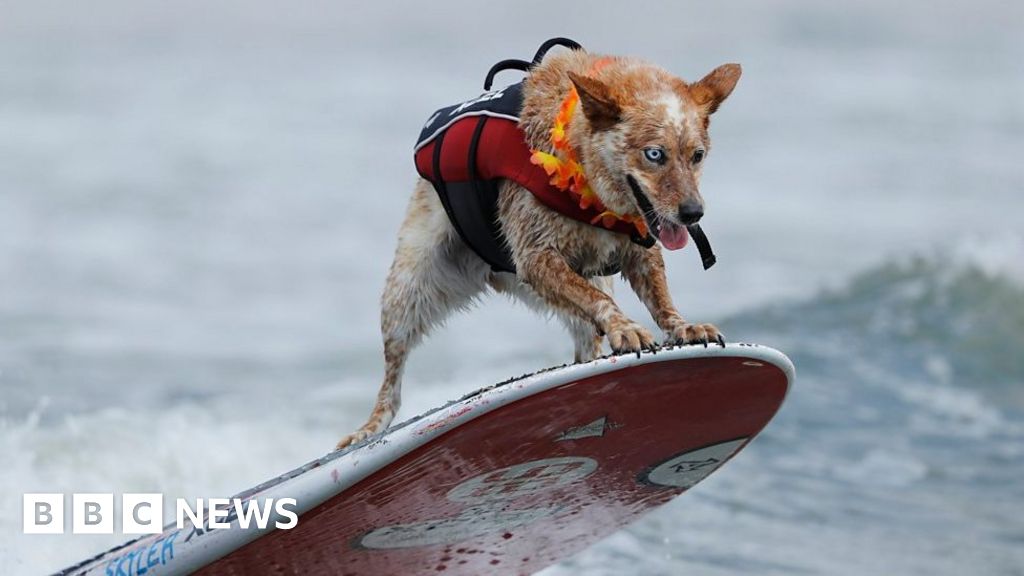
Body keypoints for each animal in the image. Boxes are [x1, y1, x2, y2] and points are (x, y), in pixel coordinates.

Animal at [339, 45, 741, 448]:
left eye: (697, 155)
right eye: (654, 154)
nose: (693, 213)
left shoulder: (640, 247)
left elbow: (659, 297)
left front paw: (682, 326)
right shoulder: (537, 258)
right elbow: (601, 302)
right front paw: (625, 327)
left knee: (585, 339)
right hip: (409, 289)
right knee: (393, 378)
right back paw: (368, 430)